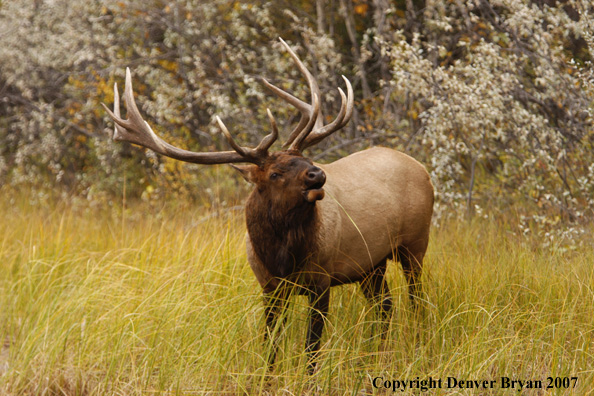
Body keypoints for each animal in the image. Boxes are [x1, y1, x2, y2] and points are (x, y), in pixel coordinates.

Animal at [102, 37, 432, 372]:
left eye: (307, 159)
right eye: (275, 173)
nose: (318, 174)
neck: (282, 256)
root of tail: (422, 168)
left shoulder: (321, 278)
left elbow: (311, 348)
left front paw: (308, 378)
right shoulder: (269, 286)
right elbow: (270, 345)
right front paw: (266, 377)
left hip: (415, 243)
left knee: (416, 300)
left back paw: (417, 344)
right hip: (371, 265)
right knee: (385, 305)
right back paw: (376, 357)